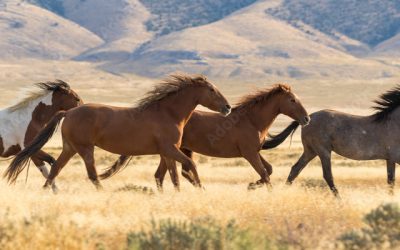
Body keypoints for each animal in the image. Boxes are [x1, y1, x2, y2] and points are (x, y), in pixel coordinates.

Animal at [4, 74, 231, 189]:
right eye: (212, 90)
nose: (227, 108)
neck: (168, 113)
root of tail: (68, 112)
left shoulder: (166, 152)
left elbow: (169, 176)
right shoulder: (170, 149)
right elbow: (188, 166)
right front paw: (200, 189)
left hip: (70, 148)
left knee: (55, 169)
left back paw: (47, 192)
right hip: (85, 149)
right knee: (92, 174)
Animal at [101, 83, 310, 189]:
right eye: (292, 100)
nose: (306, 119)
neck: (252, 120)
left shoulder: (255, 152)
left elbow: (269, 170)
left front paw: (252, 184)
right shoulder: (249, 153)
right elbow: (265, 174)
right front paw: (258, 187)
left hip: (171, 151)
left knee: (164, 175)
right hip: (175, 150)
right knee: (177, 173)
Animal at [262, 85, 400, 196]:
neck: (394, 123)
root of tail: (308, 118)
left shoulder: (390, 159)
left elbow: (391, 181)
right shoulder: (394, 157)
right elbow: (392, 181)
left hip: (310, 151)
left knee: (295, 169)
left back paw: (282, 192)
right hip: (323, 151)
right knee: (328, 176)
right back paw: (340, 201)